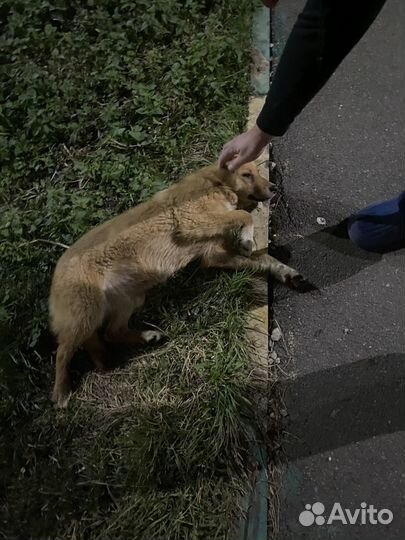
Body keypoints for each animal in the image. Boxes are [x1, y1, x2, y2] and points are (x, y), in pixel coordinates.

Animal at [49, 162, 304, 408]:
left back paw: (146, 337)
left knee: (112, 333)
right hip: (86, 315)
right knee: (63, 351)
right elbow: (243, 215)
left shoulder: (215, 255)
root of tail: (55, 274)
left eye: (257, 173)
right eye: (246, 174)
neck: (216, 184)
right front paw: (248, 237)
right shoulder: (193, 223)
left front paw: (285, 271)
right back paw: (61, 392)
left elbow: (264, 258)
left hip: (131, 298)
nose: (274, 188)